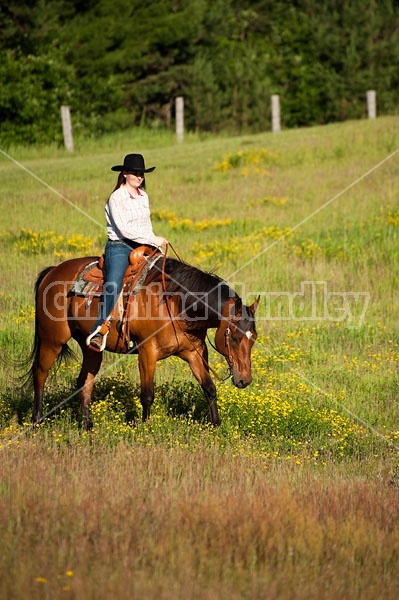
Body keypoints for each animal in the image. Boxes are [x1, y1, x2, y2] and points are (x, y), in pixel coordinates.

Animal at [27, 251, 260, 428]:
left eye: (253, 338)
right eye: (236, 337)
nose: (244, 380)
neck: (175, 304)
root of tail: (53, 271)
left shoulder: (194, 352)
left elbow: (209, 388)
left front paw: (216, 425)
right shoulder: (147, 352)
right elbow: (147, 394)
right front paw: (145, 428)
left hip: (91, 347)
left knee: (84, 381)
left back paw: (88, 426)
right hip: (52, 341)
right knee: (40, 374)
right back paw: (36, 421)